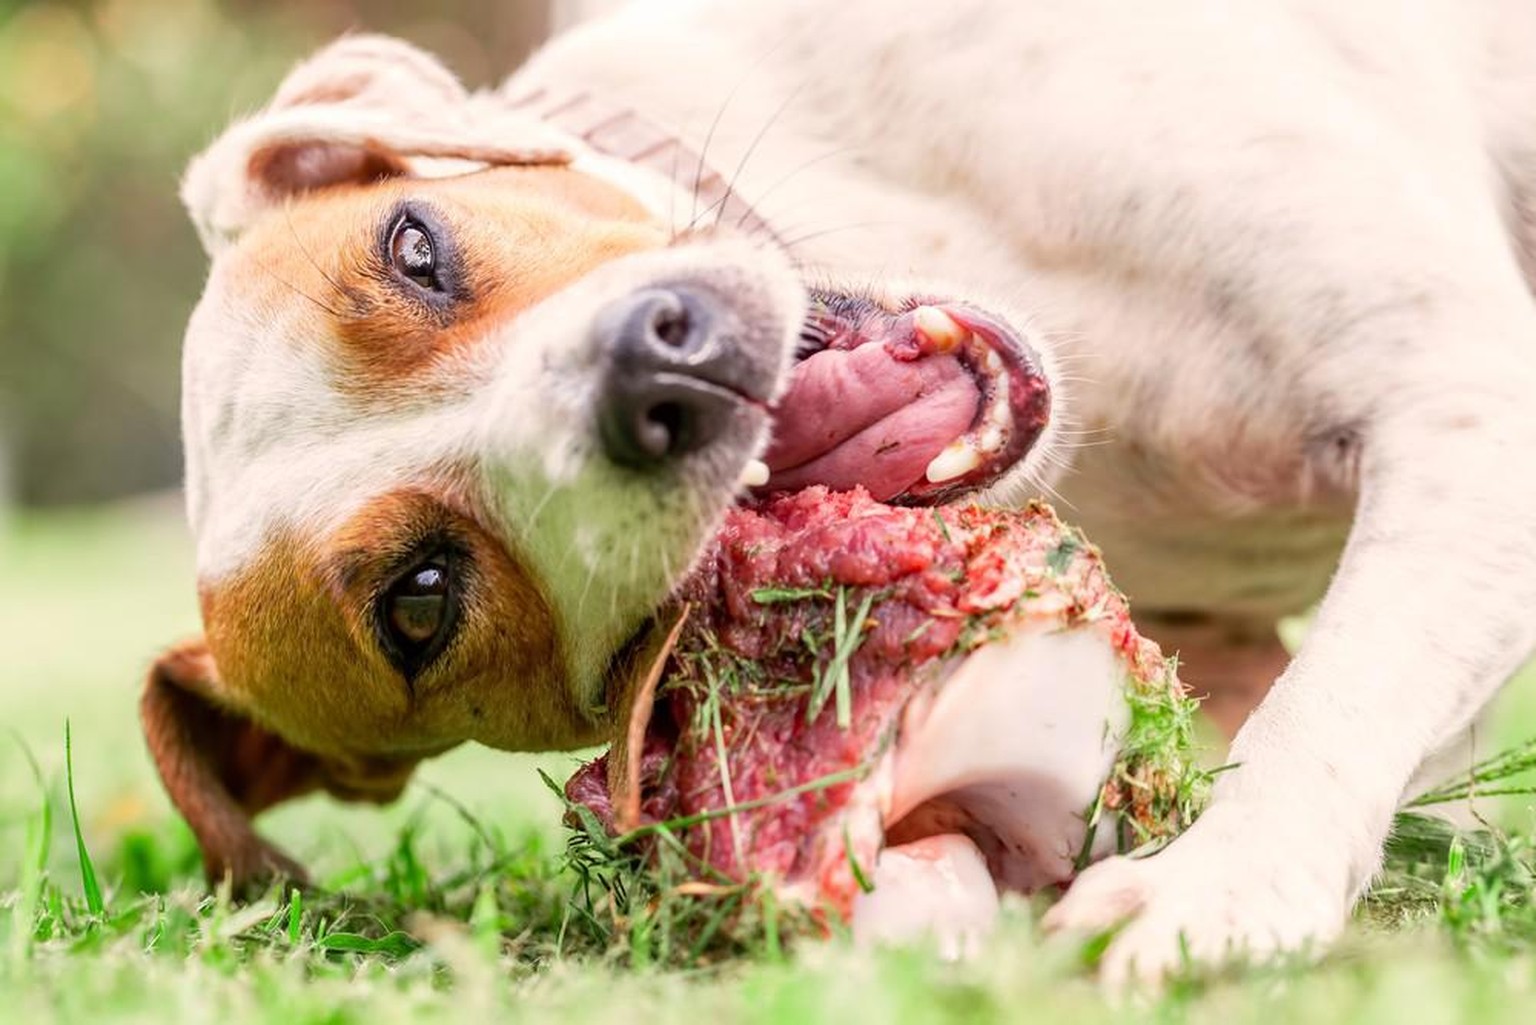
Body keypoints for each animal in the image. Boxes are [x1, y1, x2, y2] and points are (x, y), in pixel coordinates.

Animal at [146, 0, 1536, 983]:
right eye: (422, 601)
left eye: (415, 247)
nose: (654, 367)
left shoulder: (1462, 386)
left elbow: (1328, 701)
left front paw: (1219, 884)